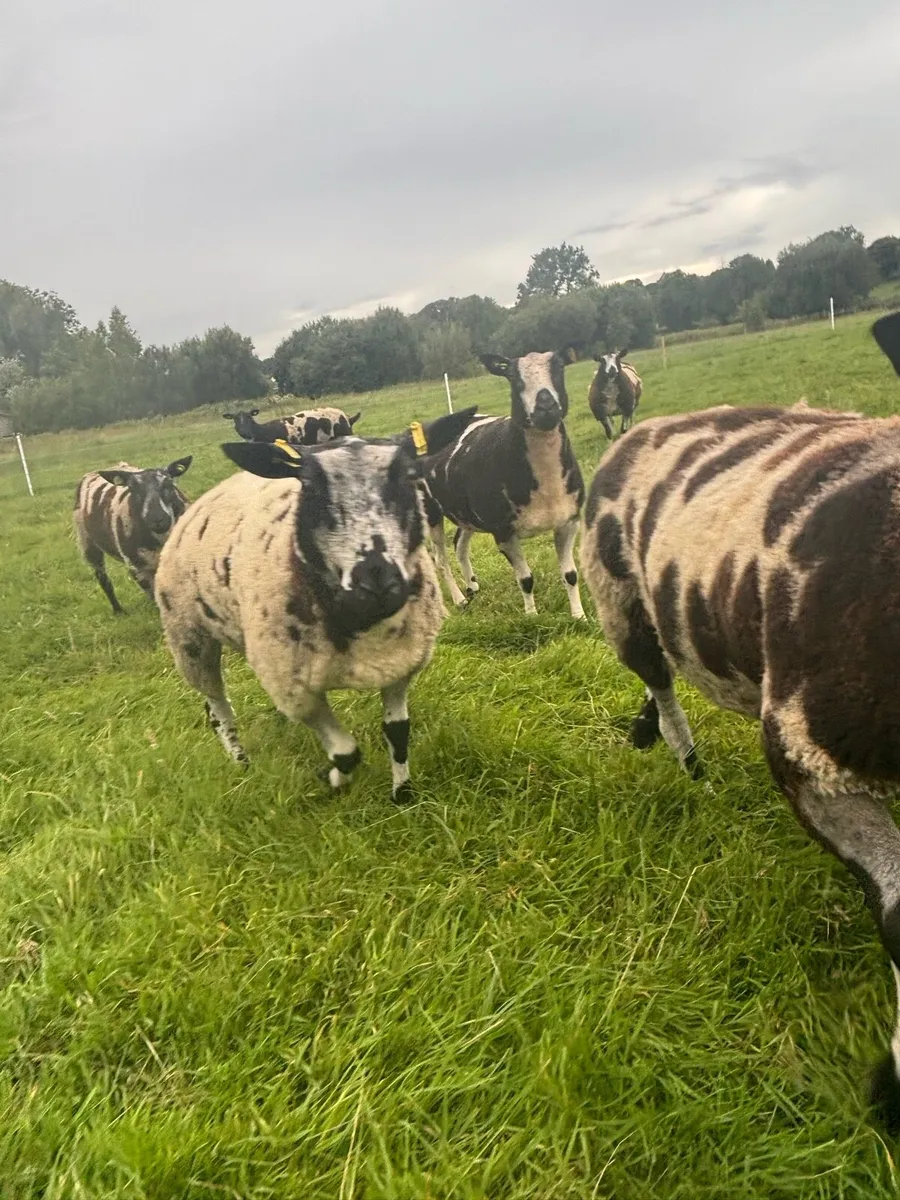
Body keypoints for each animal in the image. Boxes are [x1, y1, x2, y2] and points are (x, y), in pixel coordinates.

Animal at [73, 456, 193, 614]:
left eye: (168, 484)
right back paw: (118, 611)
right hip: (87, 542)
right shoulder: (139, 569)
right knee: (103, 578)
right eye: (133, 490)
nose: (158, 519)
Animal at [421, 349, 586, 619]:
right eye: (513, 376)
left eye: (559, 367)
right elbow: (526, 579)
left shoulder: (569, 521)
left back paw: (472, 587)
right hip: (430, 509)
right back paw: (458, 599)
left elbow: (570, 575)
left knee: (460, 545)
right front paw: (531, 617)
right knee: (440, 558)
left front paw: (579, 616)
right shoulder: (503, 532)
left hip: (466, 512)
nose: (546, 408)